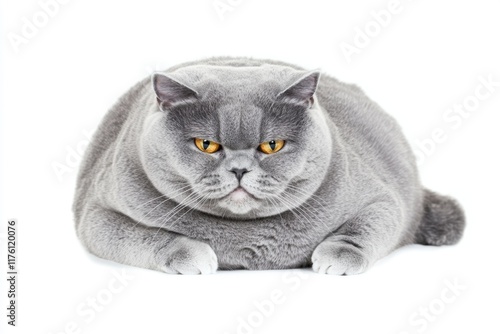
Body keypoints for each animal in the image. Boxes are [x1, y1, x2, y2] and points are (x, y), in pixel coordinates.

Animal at [73, 57, 464, 276]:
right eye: (206, 145)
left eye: (271, 145)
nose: (239, 169)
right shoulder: (97, 212)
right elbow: (150, 236)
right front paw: (193, 255)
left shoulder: (381, 198)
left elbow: (365, 227)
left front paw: (337, 257)